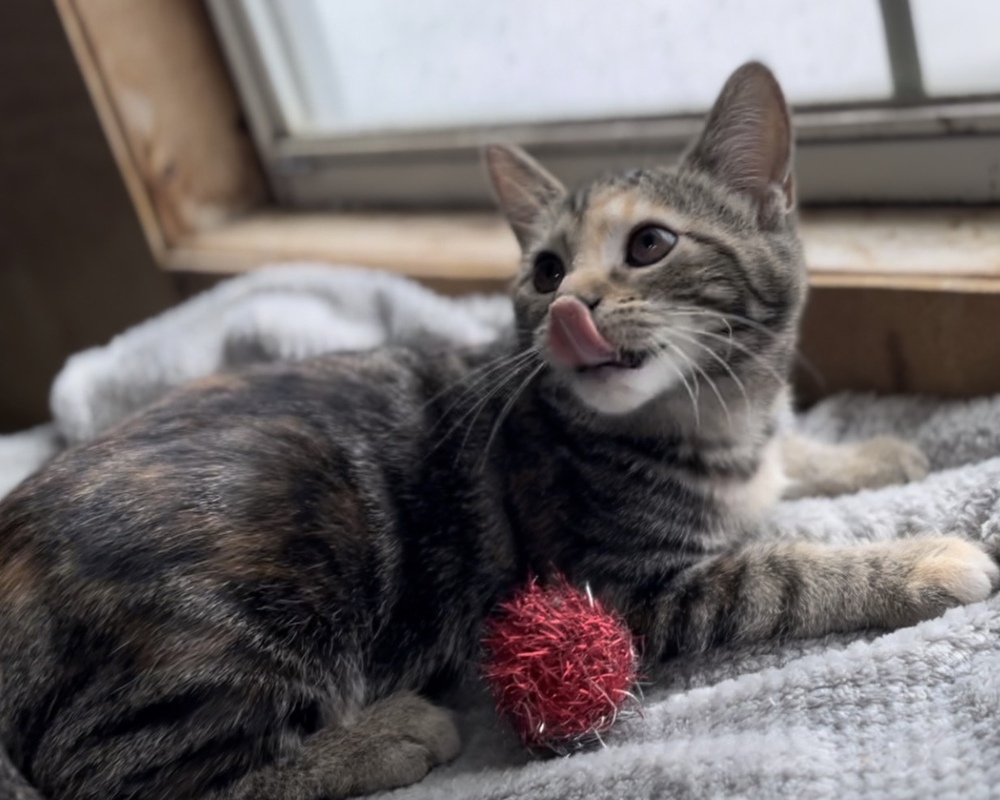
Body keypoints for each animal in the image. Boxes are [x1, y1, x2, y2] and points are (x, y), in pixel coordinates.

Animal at [1, 62, 1000, 800]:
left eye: (650, 244)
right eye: (546, 268)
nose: (567, 304)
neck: (711, 420)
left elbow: (784, 468)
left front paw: (864, 453)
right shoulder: (623, 587)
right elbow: (777, 575)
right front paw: (918, 564)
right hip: (260, 563)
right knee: (112, 773)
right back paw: (380, 738)